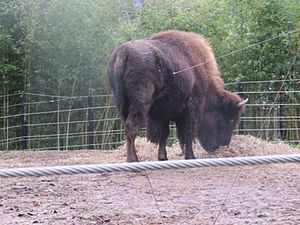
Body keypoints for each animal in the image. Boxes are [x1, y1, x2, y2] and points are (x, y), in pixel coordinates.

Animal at [106, 30, 247, 162]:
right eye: (230, 119)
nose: (222, 145)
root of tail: (124, 53)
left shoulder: (162, 114)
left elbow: (164, 134)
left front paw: (163, 157)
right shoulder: (190, 109)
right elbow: (187, 133)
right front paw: (190, 156)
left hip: (121, 103)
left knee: (126, 127)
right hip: (140, 102)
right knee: (132, 126)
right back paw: (133, 159)